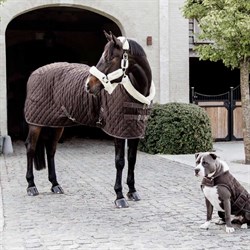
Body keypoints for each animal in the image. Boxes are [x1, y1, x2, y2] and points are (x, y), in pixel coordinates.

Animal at [24, 30, 154, 207]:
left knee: (51, 149)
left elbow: (132, 160)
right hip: (35, 123)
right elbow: (120, 161)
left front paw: (132, 191)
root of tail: (34, 73)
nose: (88, 85)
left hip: (56, 124)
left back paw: (55, 184)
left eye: (109, 58)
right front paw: (119, 196)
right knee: (30, 148)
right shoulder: (118, 131)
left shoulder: (134, 130)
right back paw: (31, 186)